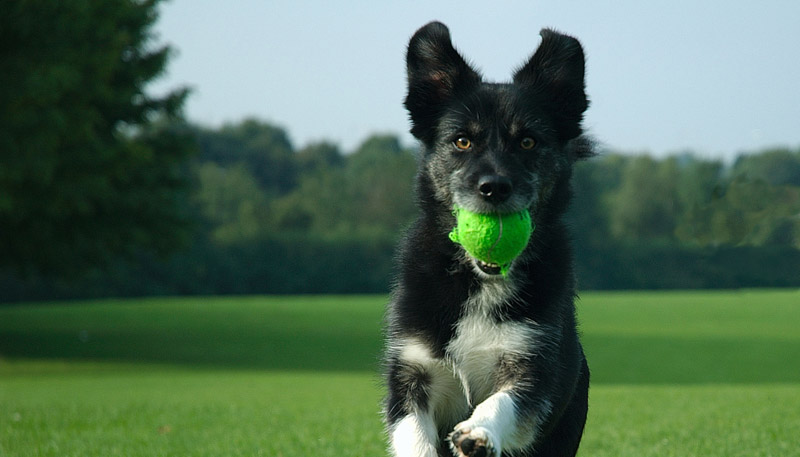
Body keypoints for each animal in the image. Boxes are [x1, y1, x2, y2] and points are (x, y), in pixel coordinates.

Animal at [384, 22, 592, 456]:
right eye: (462, 141)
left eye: (528, 141)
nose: (494, 187)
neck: (480, 281)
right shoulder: (412, 371)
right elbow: (414, 434)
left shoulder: (534, 365)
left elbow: (507, 401)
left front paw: (477, 432)